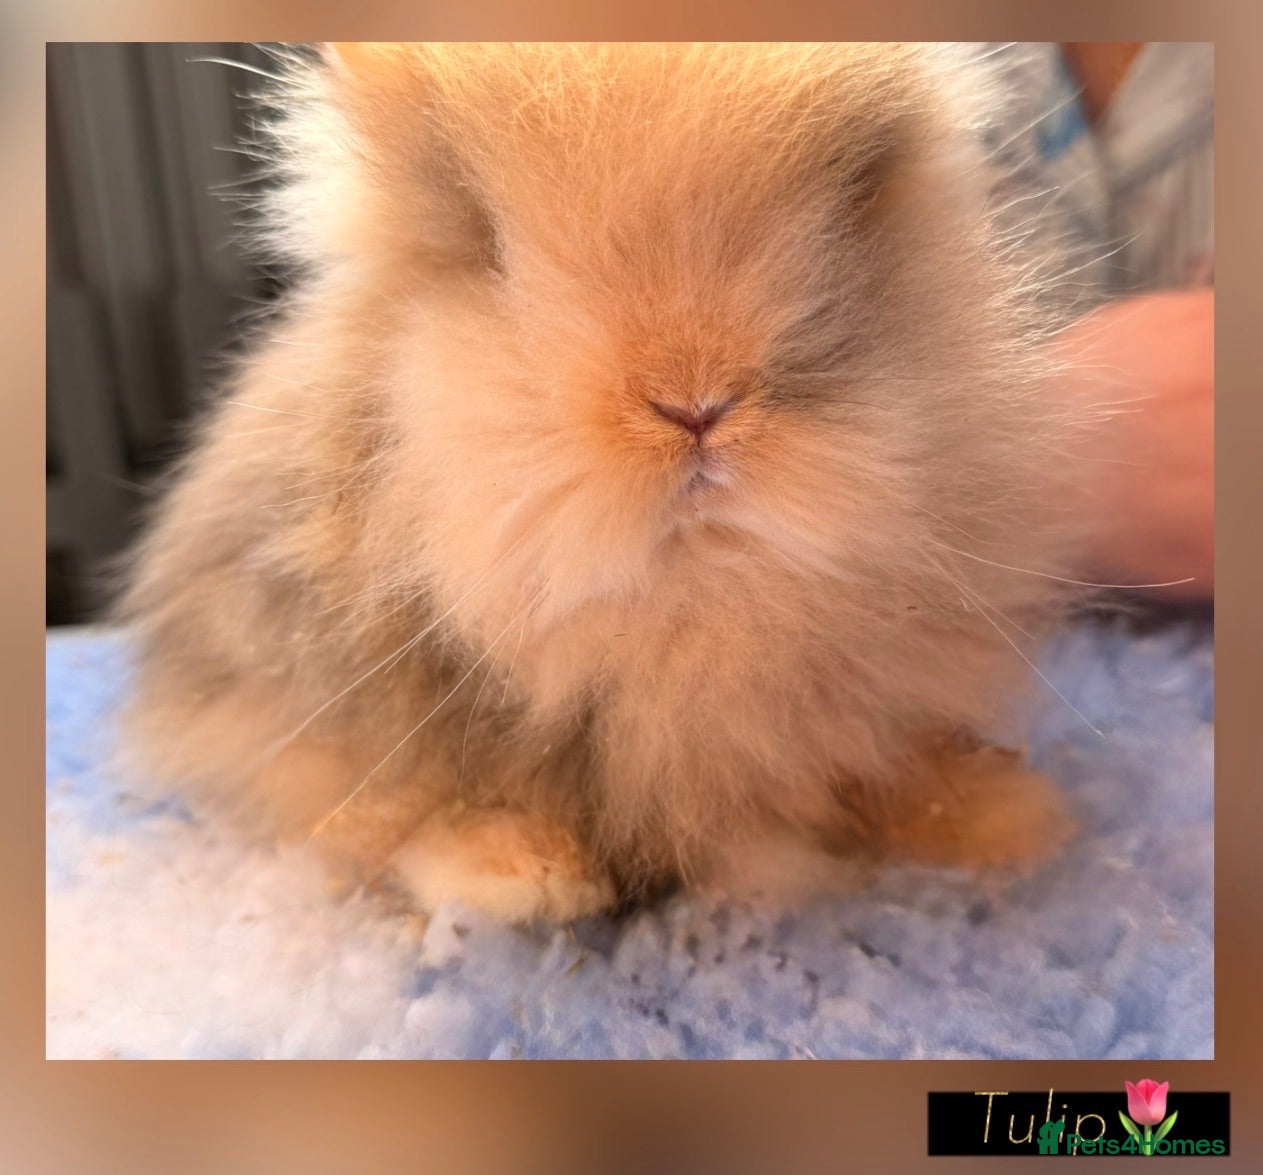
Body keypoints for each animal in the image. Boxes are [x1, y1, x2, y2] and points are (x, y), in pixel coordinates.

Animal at [119, 42, 1092, 923]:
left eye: (855, 191)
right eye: (490, 244)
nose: (695, 403)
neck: (696, 593)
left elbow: (894, 774)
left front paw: (1012, 818)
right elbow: (403, 806)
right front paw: (523, 875)